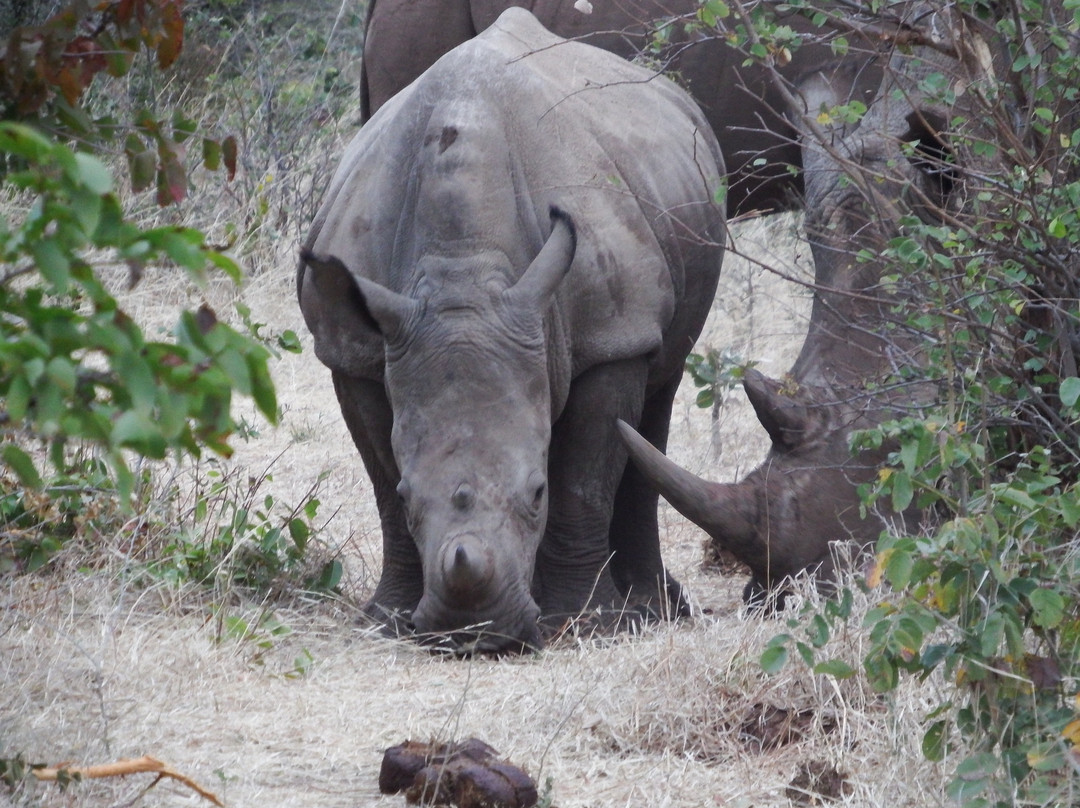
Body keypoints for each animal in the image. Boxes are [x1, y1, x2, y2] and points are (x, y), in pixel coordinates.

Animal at [298, 8, 726, 650]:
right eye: (411, 497)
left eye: (536, 493)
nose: (473, 632)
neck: (464, 273)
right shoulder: (354, 351)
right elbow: (380, 482)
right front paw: (386, 620)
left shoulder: (610, 337)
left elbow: (583, 483)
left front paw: (585, 625)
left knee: (659, 395)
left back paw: (654, 612)